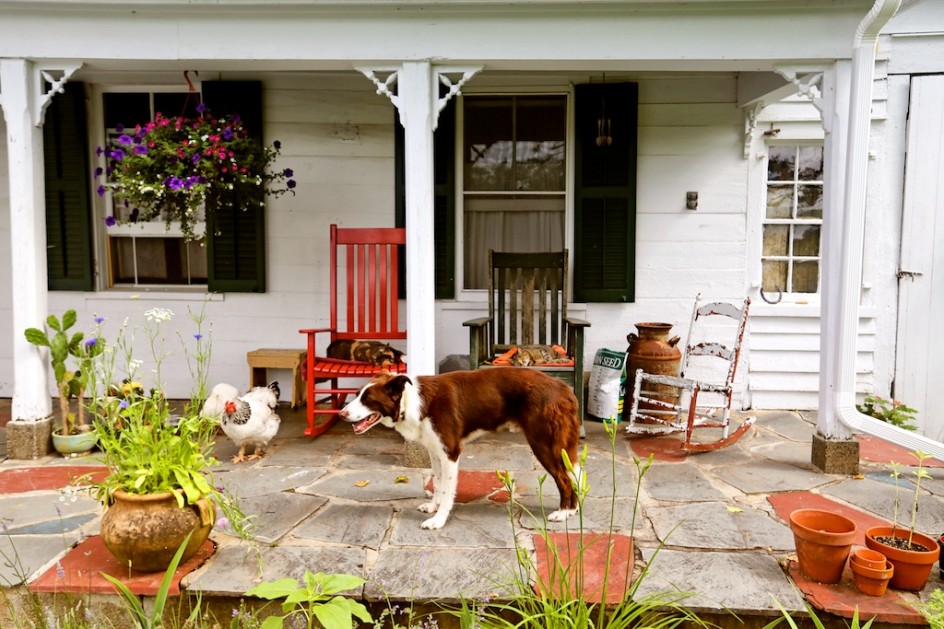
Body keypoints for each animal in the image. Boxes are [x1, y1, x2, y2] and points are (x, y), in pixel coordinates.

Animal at [340, 368, 584, 528]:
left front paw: (438, 520)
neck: (412, 403)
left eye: (367, 399)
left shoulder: (450, 452)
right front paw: (433, 507)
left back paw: (563, 513)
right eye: (357, 395)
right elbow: (438, 483)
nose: (341, 414)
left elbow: (448, 490)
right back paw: (573, 510)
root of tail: (565, 388)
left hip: (543, 443)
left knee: (564, 479)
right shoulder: (435, 451)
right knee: (572, 475)